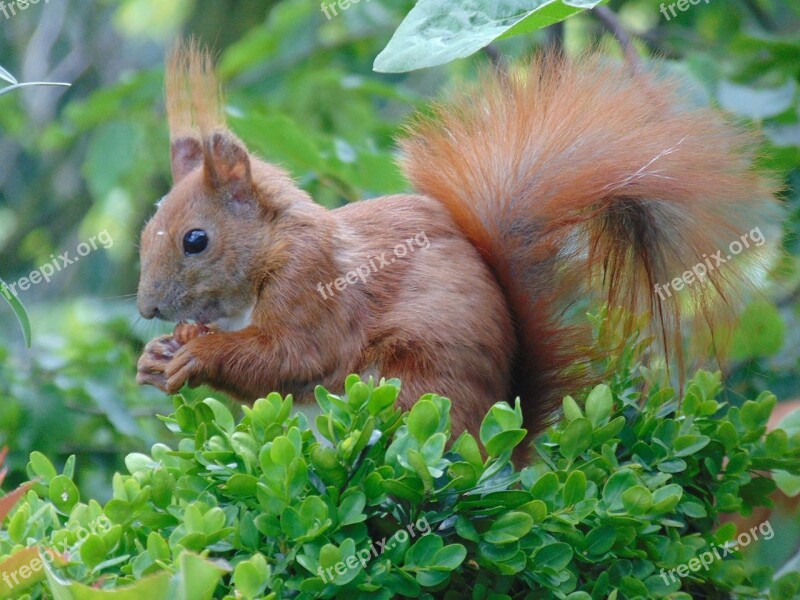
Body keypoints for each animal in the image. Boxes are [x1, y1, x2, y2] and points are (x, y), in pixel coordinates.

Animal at [138, 43, 780, 450]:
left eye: (196, 240)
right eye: (146, 231)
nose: (147, 308)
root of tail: (499, 445)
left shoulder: (314, 286)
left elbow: (289, 357)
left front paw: (200, 353)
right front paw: (159, 354)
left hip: (416, 388)